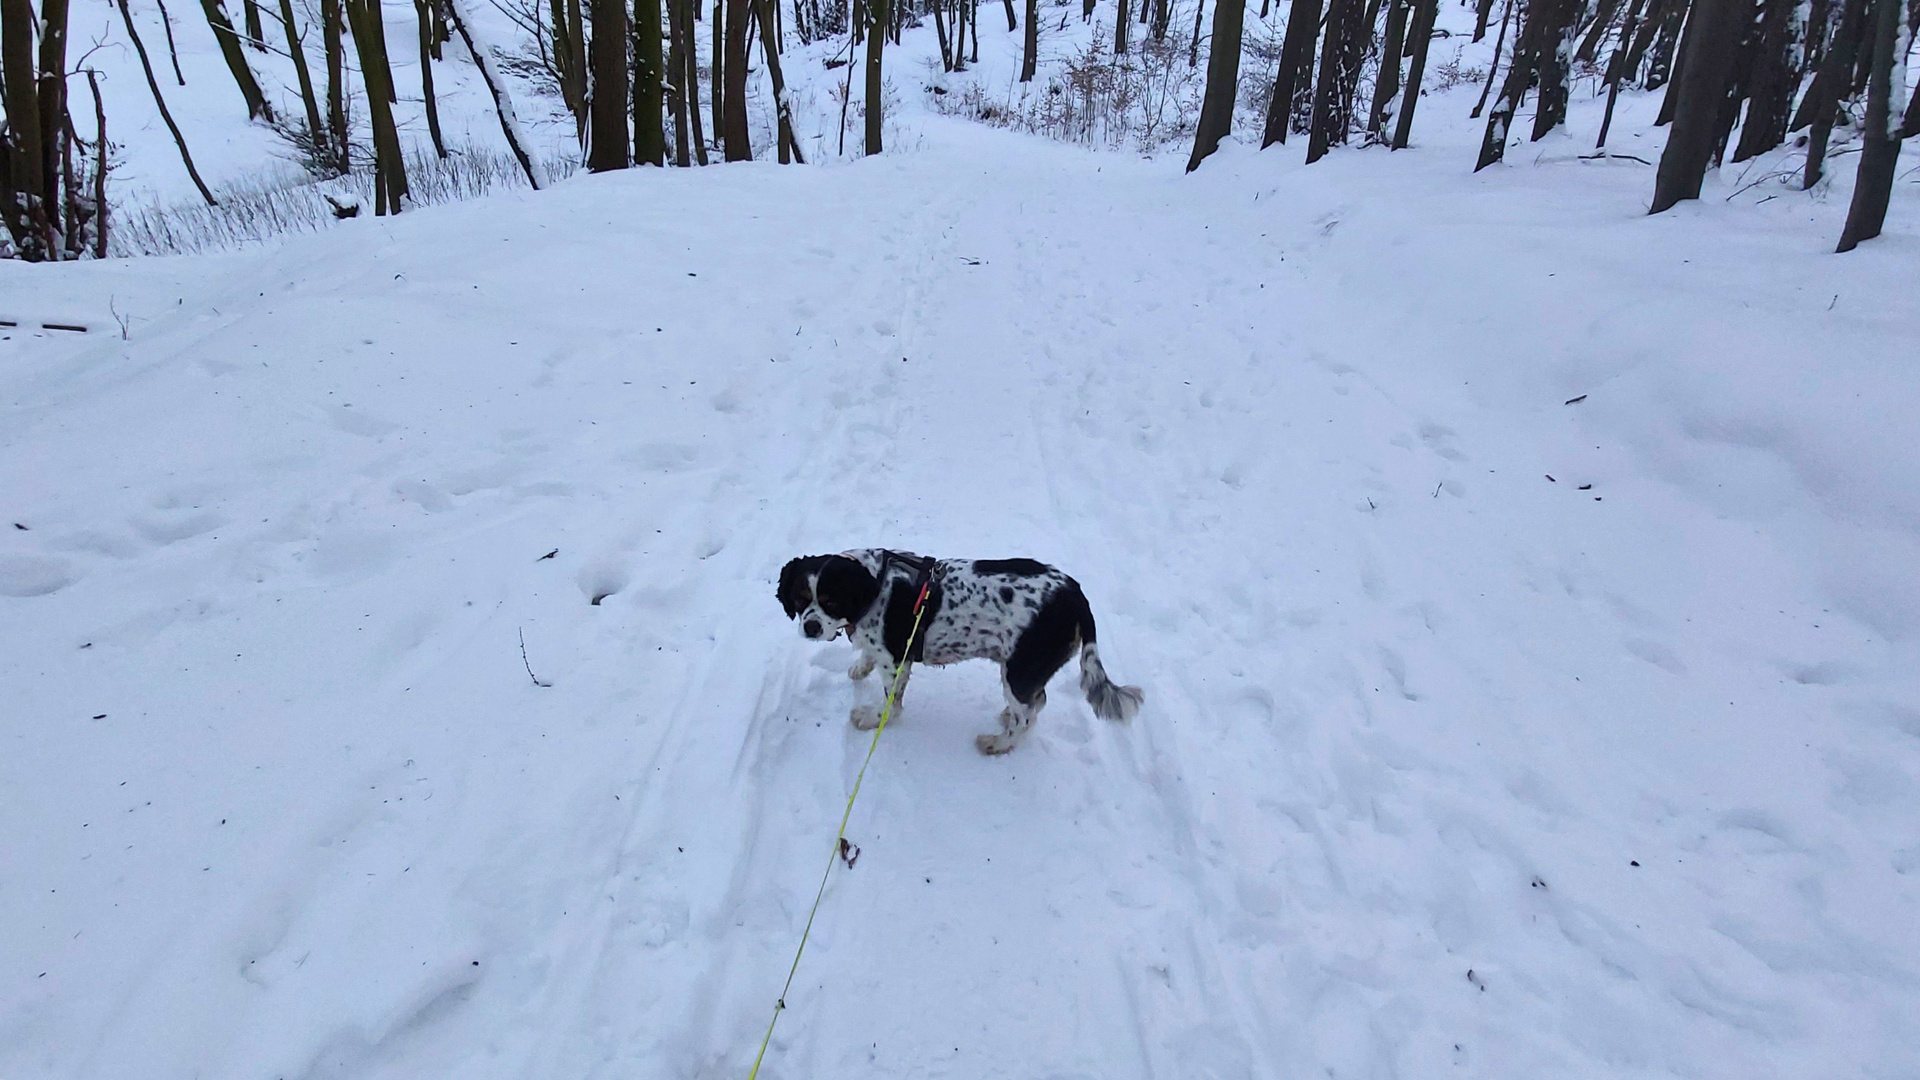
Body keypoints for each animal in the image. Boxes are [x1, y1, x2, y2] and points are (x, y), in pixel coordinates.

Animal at [779, 549, 1136, 753]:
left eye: (830, 601)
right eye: (799, 599)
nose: (811, 627)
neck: (875, 582)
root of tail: (1078, 599)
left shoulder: (897, 662)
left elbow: (891, 705)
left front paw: (872, 718)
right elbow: (867, 656)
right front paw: (859, 667)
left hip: (1021, 668)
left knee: (1027, 716)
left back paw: (997, 743)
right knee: (1036, 704)